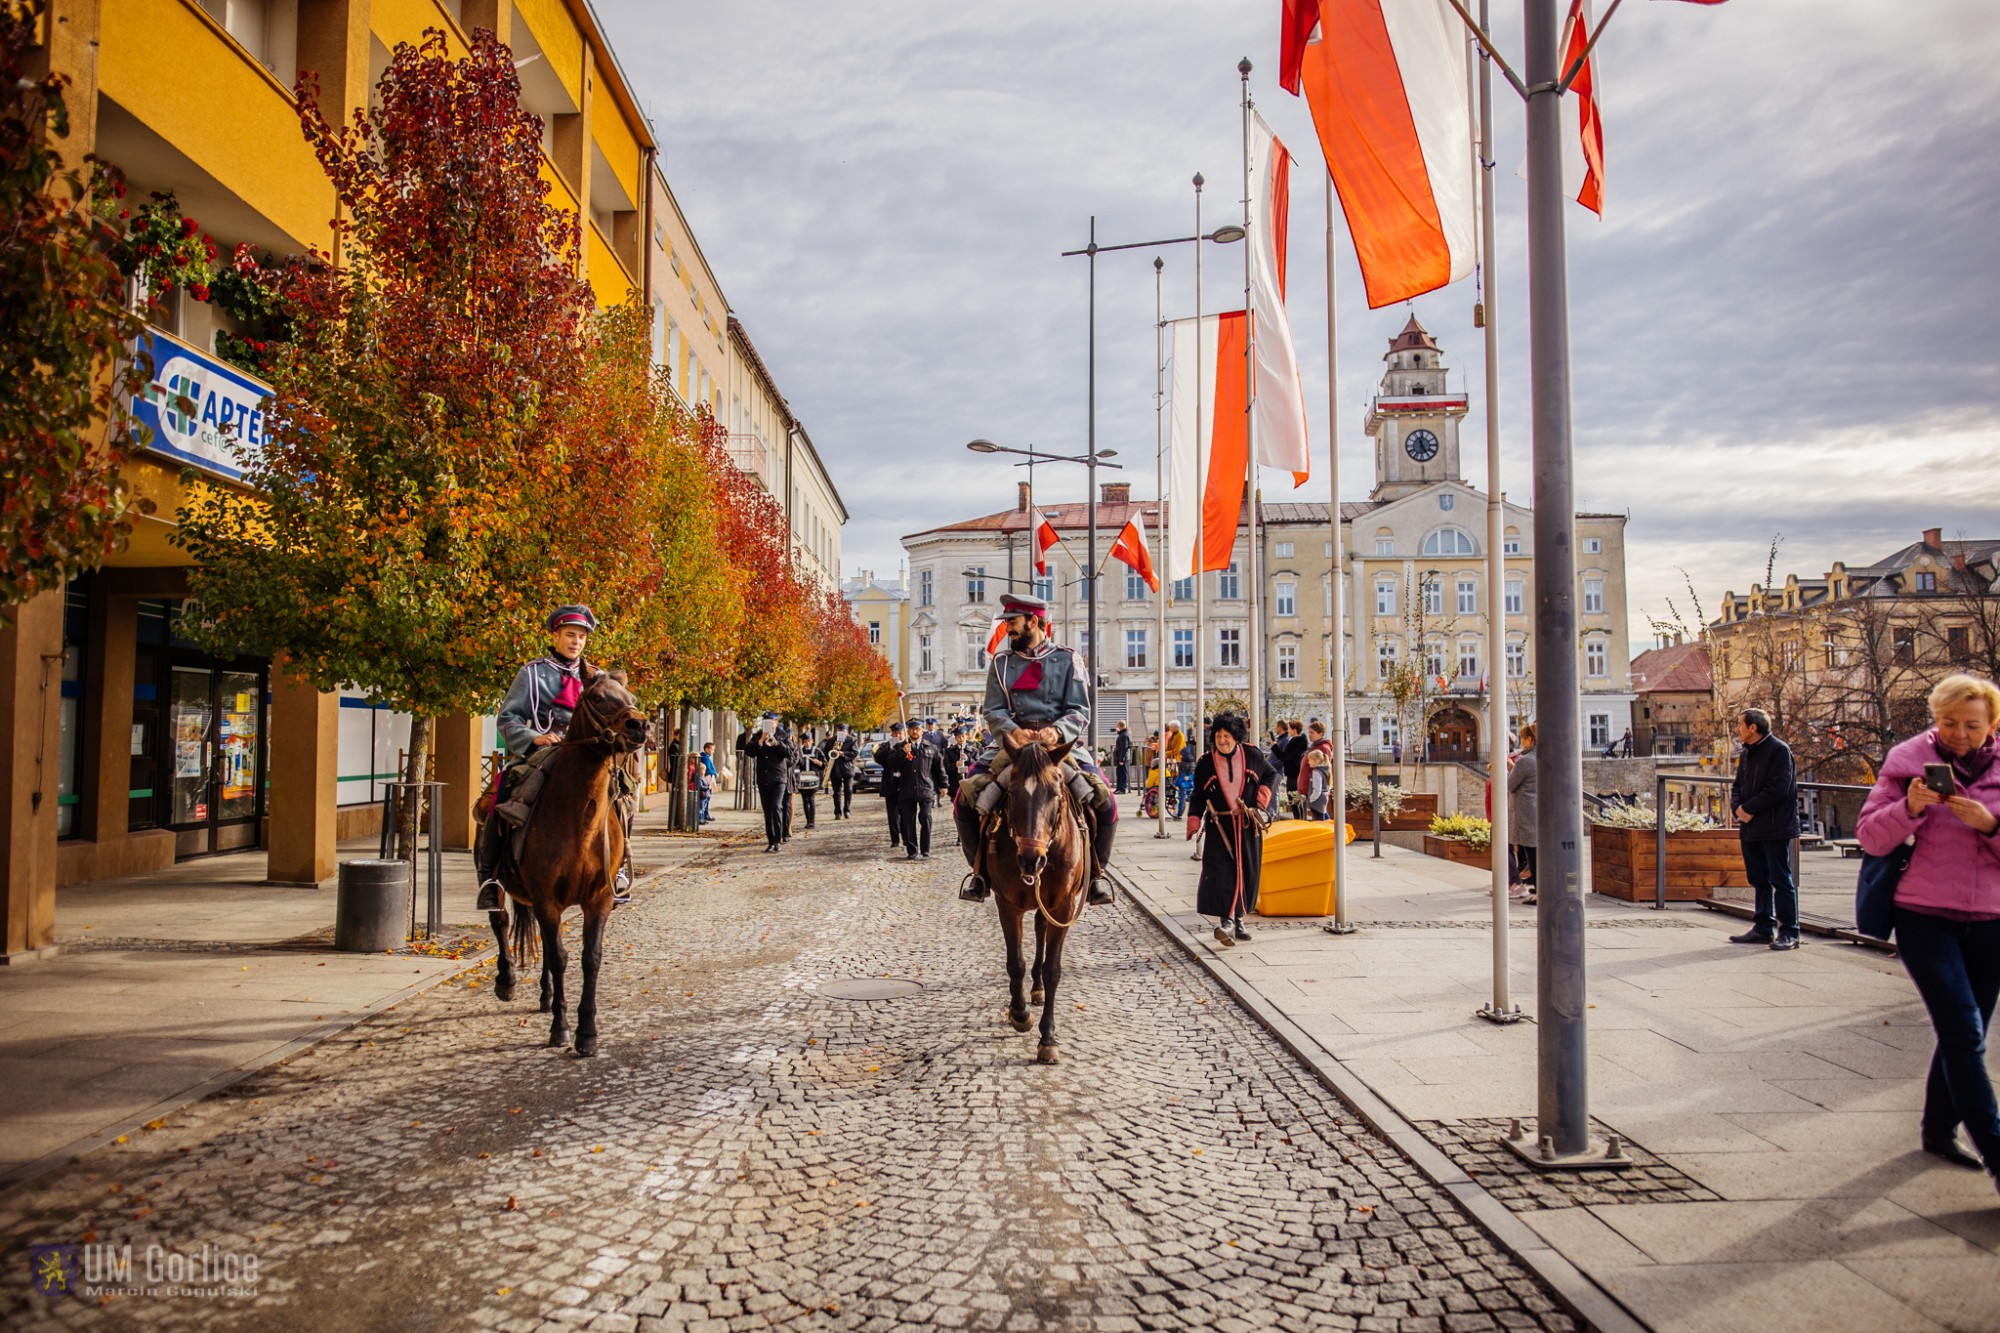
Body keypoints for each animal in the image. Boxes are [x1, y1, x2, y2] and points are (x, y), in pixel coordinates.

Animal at [486, 660, 648, 1048]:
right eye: (597, 697)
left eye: (631, 697)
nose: (640, 725)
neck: (579, 821)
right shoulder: (547, 898)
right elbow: (559, 957)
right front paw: (560, 1027)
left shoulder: (598, 899)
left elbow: (590, 958)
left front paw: (586, 1030)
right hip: (500, 881)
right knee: (501, 920)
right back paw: (507, 982)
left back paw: (545, 996)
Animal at [984, 728, 1096, 1056]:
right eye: (1011, 794)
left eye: (1055, 794)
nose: (1031, 860)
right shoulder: (1007, 905)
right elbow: (1015, 962)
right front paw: (1020, 1013)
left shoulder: (1064, 907)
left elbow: (1052, 968)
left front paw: (1048, 1037)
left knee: (1041, 930)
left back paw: (1038, 989)